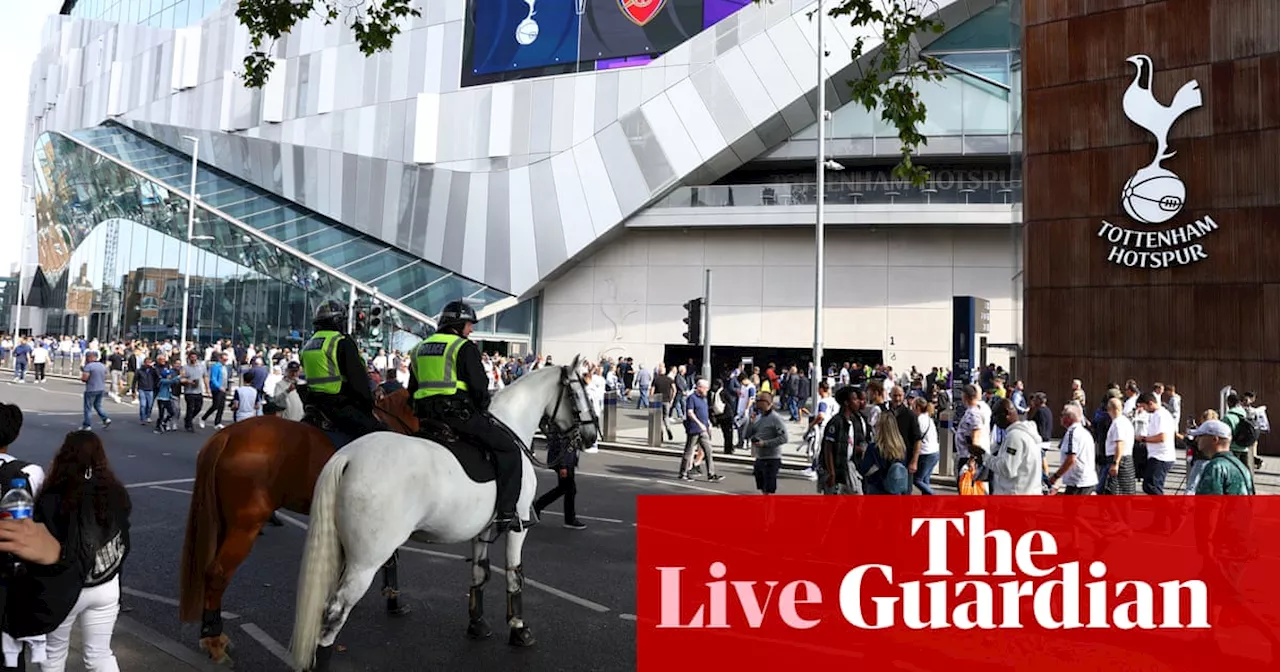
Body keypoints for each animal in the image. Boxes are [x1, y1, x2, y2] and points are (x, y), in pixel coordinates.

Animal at [179, 384, 419, 660]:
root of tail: (226, 436)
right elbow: (390, 557)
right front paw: (392, 600)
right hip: (245, 524)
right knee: (217, 573)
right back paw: (214, 639)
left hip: (223, 521)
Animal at [288, 358, 596, 665]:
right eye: (581, 391)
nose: (592, 436)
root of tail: (348, 456)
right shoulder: (517, 527)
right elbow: (514, 574)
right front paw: (519, 629)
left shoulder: (482, 531)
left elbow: (479, 573)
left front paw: (477, 624)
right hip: (365, 561)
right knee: (334, 613)